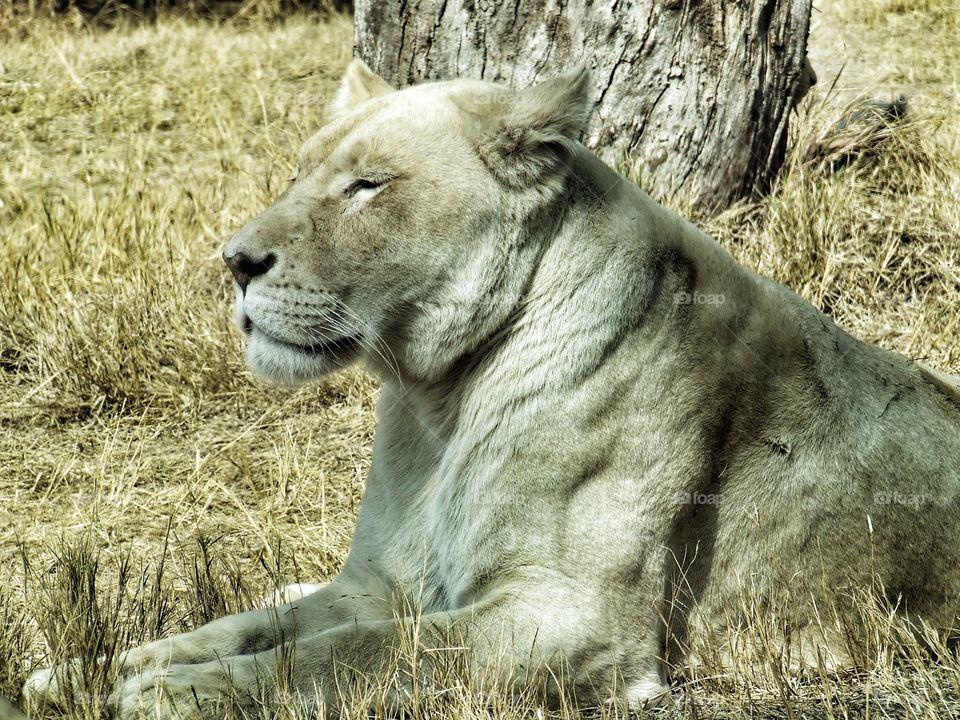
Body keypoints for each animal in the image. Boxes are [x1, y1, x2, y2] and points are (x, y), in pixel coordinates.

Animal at [25, 60, 960, 718]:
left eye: (368, 184)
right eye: (299, 174)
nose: (234, 261)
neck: (439, 399)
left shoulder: (574, 619)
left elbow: (363, 654)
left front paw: (170, 695)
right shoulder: (379, 582)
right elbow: (262, 627)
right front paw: (89, 670)